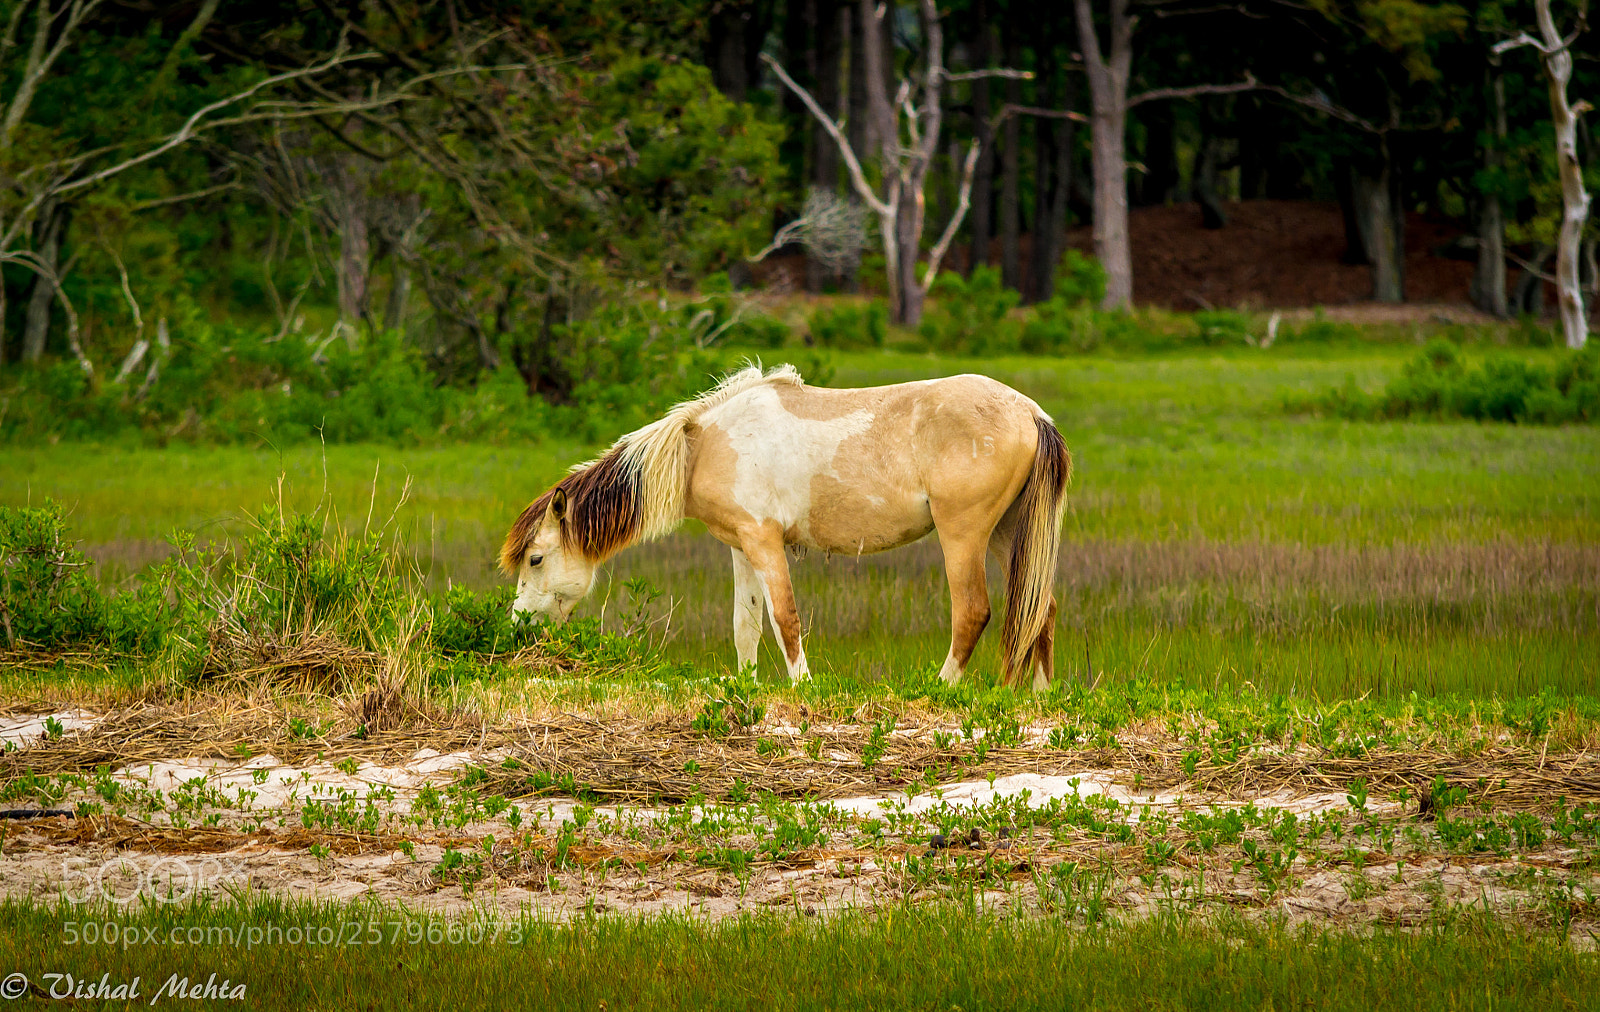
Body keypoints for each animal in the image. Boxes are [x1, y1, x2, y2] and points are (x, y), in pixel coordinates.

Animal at [499, 364, 1070, 689]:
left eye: (535, 558)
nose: (519, 625)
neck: (703, 446)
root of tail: (1031, 412)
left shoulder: (764, 542)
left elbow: (785, 618)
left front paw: (802, 688)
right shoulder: (740, 547)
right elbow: (745, 624)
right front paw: (748, 689)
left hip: (964, 536)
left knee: (973, 611)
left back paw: (942, 688)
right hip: (1009, 536)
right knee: (1039, 606)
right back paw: (1037, 698)